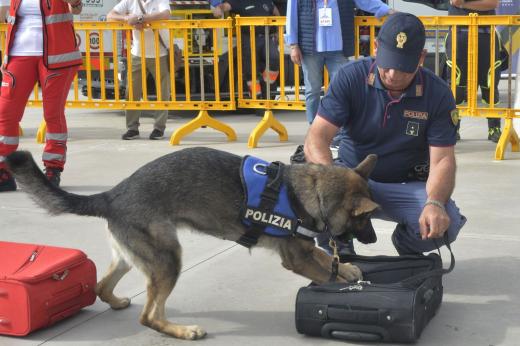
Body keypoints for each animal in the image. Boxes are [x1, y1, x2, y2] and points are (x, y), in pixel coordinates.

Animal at [6, 147, 380, 340]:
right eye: (365, 220)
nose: (375, 238)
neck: (311, 190)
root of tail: (112, 195)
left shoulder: (303, 249)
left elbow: (323, 255)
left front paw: (348, 268)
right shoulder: (296, 260)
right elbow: (324, 271)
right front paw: (345, 279)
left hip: (135, 257)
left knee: (101, 285)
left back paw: (116, 301)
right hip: (169, 259)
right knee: (148, 317)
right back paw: (182, 331)